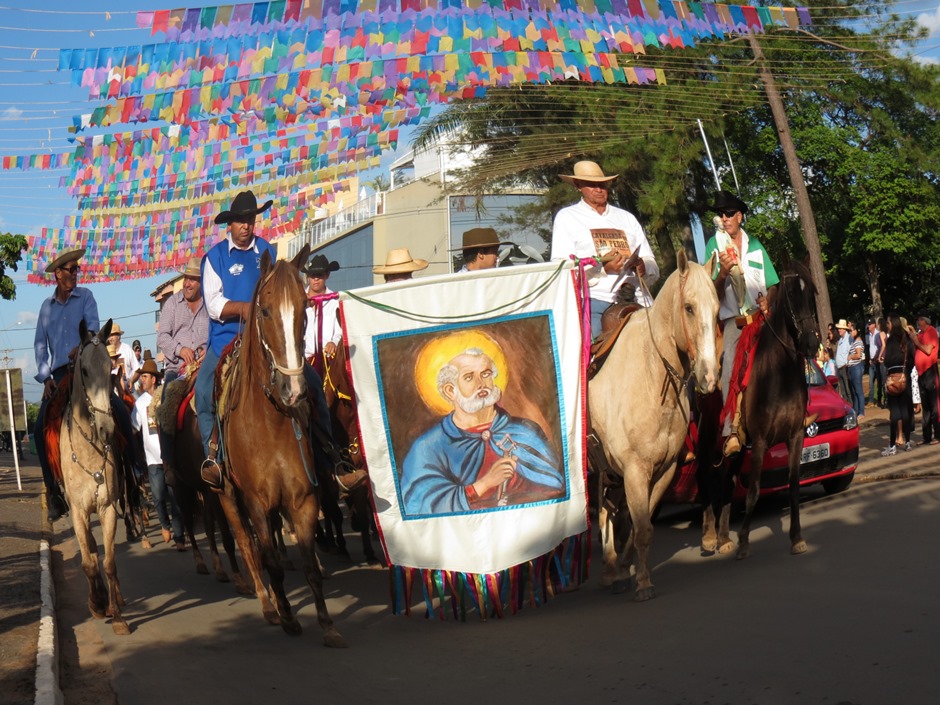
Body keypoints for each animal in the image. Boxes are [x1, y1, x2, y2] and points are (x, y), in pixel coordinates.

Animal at [213, 245, 346, 648]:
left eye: (305, 309)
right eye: (266, 311)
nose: (294, 390)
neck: (270, 424)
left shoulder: (304, 500)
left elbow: (309, 564)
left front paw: (327, 625)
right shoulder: (256, 502)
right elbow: (268, 559)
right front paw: (287, 616)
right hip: (227, 496)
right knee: (247, 545)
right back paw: (267, 602)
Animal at [588, 248, 720, 600]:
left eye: (717, 309)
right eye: (689, 307)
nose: (709, 376)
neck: (651, 374)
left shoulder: (665, 469)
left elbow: (640, 527)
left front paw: (629, 571)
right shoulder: (635, 469)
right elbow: (642, 526)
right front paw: (643, 584)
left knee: (606, 513)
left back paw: (610, 569)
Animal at [700, 260, 820, 560]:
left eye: (811, 293)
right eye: (791, 294)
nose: (812, 344)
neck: (779, 373)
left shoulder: (795, 436)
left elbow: (793, 485)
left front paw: (796, 537)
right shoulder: (762, 441)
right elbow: (753, 491)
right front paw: (744, 541)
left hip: (737, 448)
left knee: (727, 481)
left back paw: (723, 537)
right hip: (709, 441)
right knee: (707, 479)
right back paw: (709, 537)